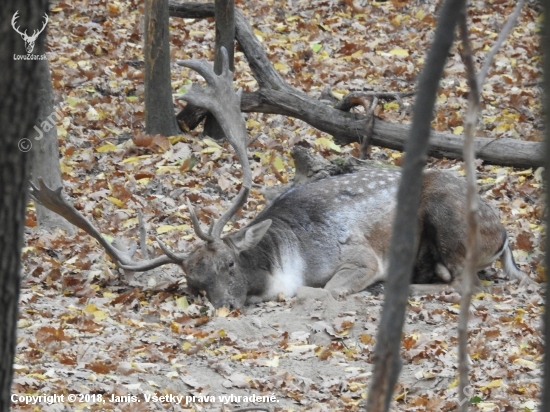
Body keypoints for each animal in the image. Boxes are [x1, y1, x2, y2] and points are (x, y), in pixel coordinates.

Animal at [29, 46, 532, 308]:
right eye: (194, 284)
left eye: (230, 264)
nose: (226, 306)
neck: (290, 256)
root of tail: (506, 235)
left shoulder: (359, 257)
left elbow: (320, 292)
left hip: (449, 215)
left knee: (463, 281)